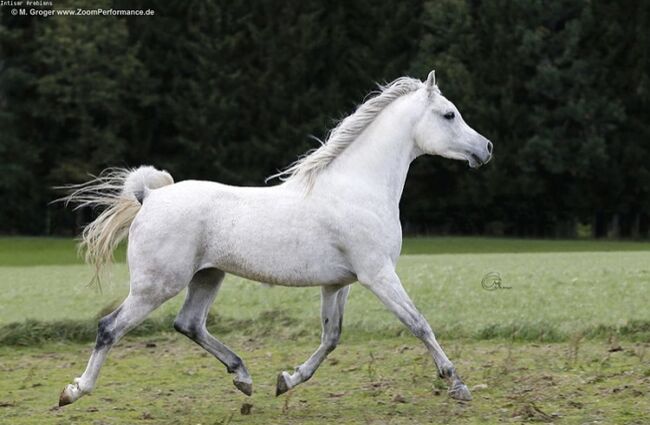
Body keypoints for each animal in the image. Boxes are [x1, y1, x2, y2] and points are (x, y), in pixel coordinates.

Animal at [58, 71, 492, 406]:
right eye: (449, 114)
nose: (486, 148)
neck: (357, 188)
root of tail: (149, 196)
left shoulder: (339, 284)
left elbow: (331, 338)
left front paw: (286, 380)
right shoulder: (378, 275)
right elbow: (419, 324)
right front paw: (457, 385)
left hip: (208, 276)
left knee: (189, 324)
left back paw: (243, 378)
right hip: (157, 284)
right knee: (110, 327)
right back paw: (74, 391)